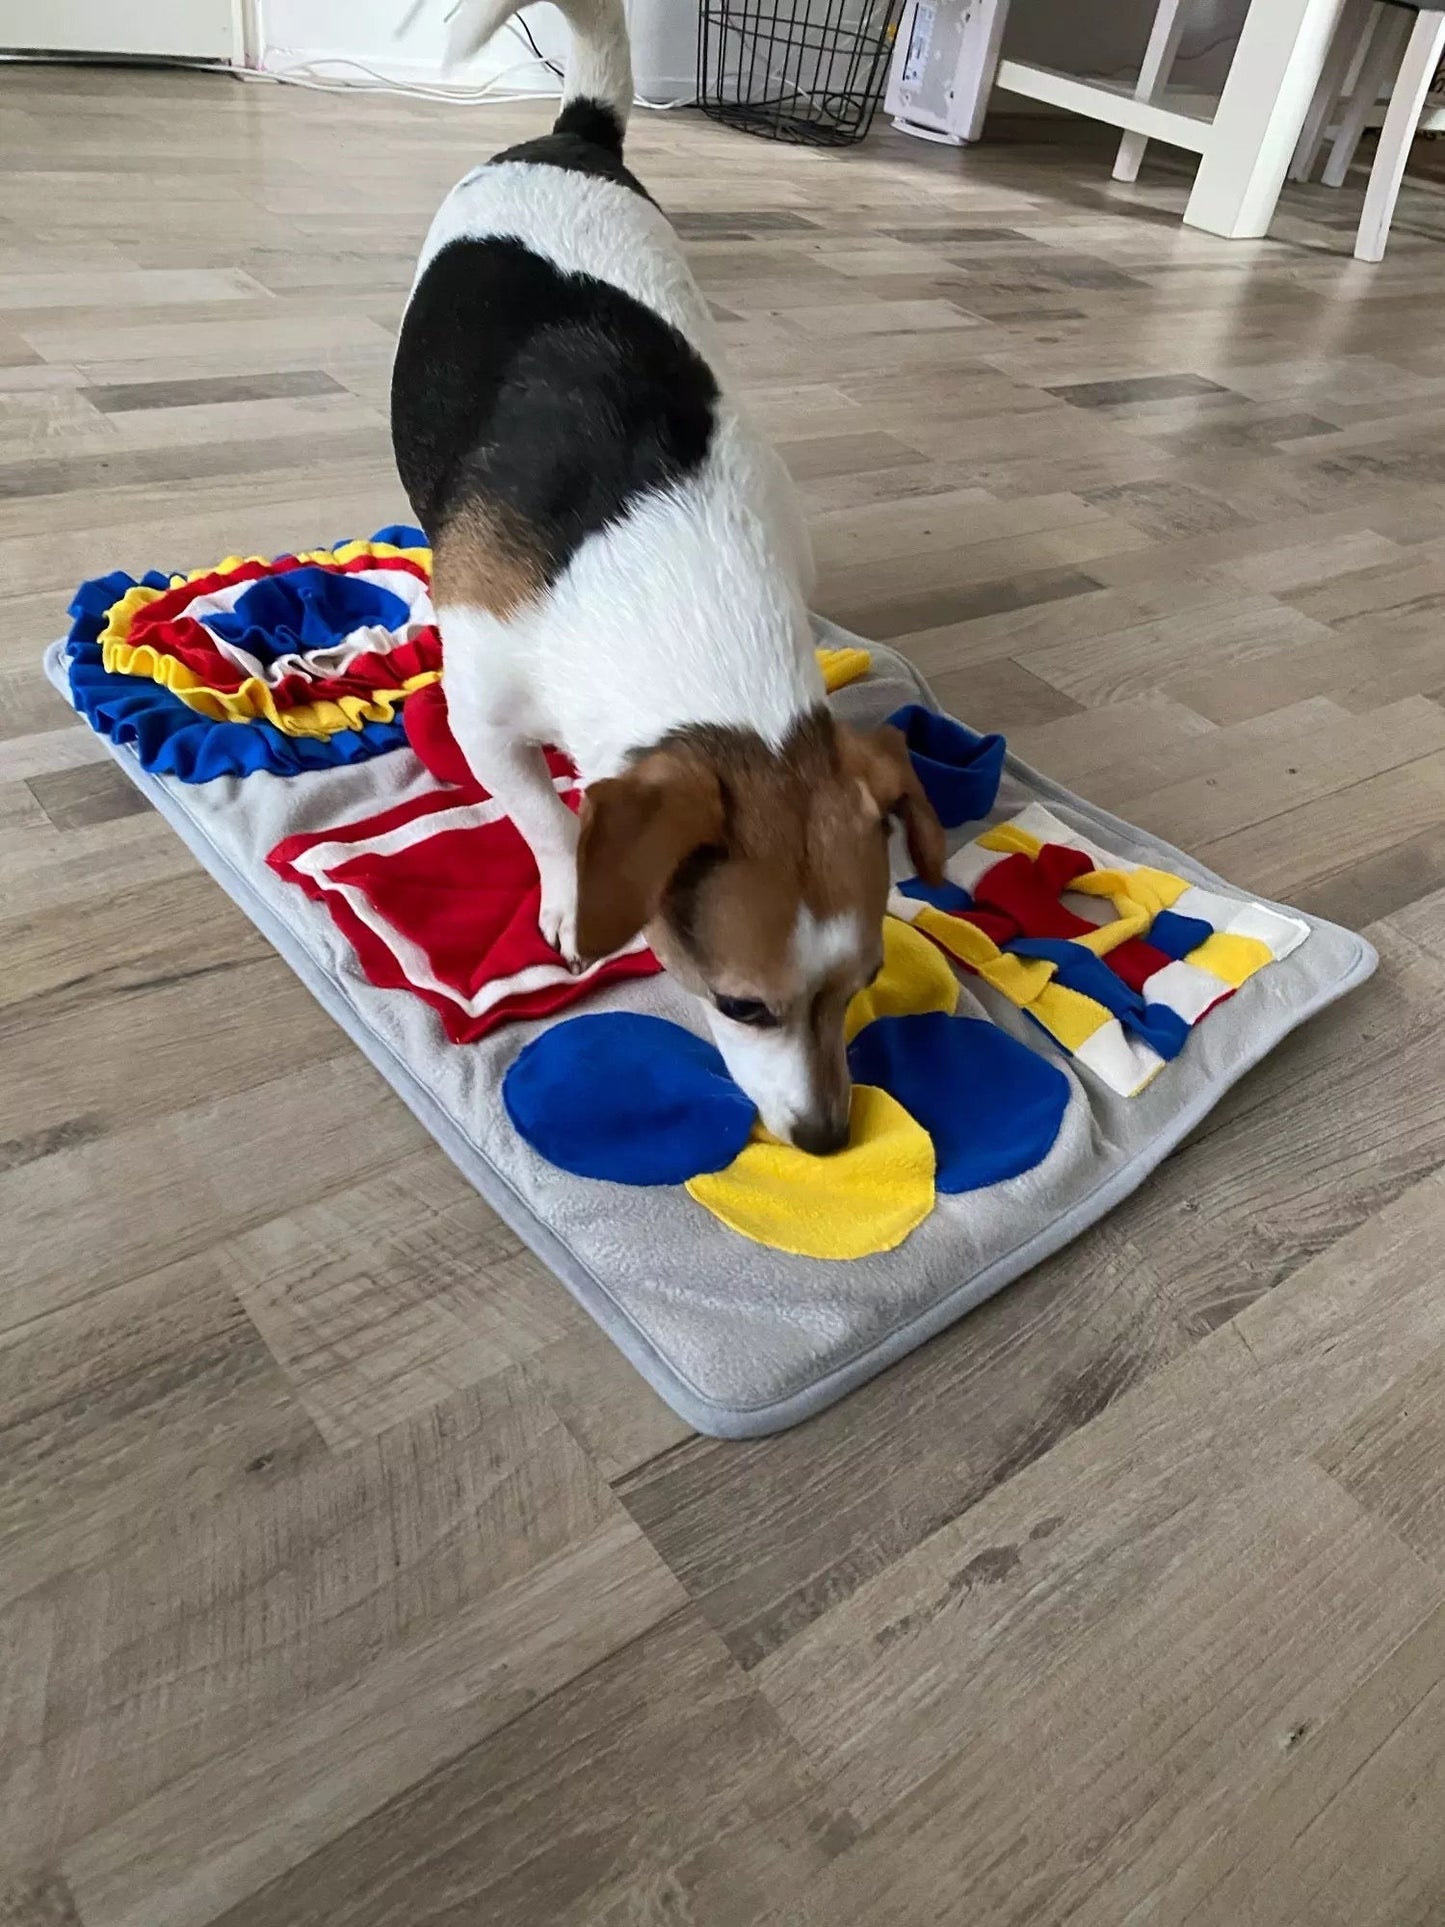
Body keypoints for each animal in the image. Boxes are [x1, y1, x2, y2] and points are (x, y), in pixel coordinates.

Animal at [391, 0, 951, 1148]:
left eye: (864, 980)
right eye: (739, 1006)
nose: (825, 1138)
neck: (673, 569)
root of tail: (572, 131)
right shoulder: (487, 718)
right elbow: (546, 817)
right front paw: (569, 895)